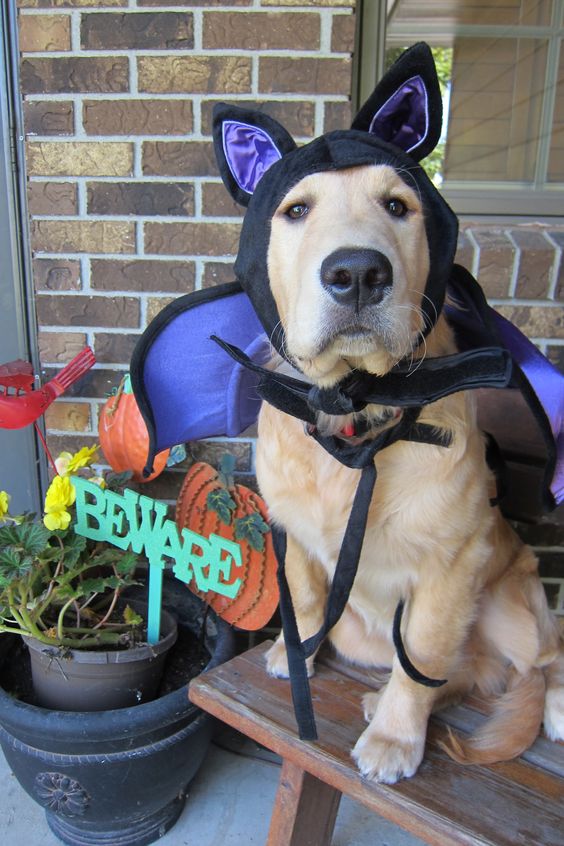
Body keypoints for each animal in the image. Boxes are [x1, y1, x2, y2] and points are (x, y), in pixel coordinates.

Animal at [256, 162, 564, 784]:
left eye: (398, 206)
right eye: (296, 209)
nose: (356, 273)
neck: (355, 416)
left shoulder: (451, 566)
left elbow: (421, 655)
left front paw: (395, 739)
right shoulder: (290, 531)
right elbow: (305, 597)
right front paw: (293, 653)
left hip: (512, 606)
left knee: (545, 655)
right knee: (471, 675)